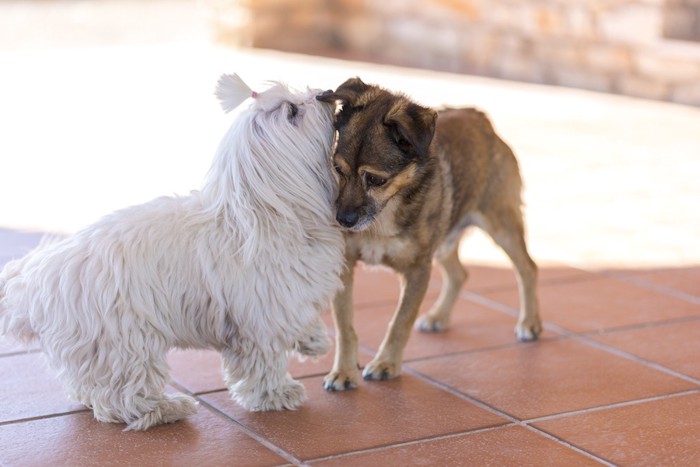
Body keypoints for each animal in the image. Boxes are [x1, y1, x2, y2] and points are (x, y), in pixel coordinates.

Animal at [0, 74, 344, 432]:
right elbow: (264, 361)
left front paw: (314, 340)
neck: (269, 212)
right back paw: (165, 408)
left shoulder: (292, 296)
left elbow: (302, 318)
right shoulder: (261, 316)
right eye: (292, 112)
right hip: (124, 341)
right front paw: (276, 393)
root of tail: (35, 282)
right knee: (124, 394)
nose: (324, 93)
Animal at [318, 77, 540, 392]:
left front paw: (386, 363)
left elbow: (400, 322)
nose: (343, 220)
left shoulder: (417, 271)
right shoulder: (345, 267)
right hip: (445, 238)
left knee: (527, 269)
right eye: (337, 169)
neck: (383, 216)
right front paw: (344, 371)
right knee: (460, 274)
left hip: (501, 226)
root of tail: (480, 119)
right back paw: (438, 316)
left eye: (375, 179)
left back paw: (530, 323)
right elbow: (345, 326)